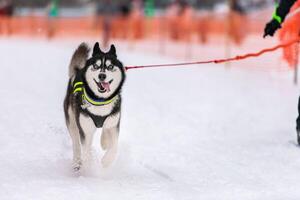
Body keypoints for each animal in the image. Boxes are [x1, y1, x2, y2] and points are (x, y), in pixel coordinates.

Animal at [63, 41, 125, 170]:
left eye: (110, 67)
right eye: (96, 66)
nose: (102, 76)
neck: (100, 101)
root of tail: (78, 70)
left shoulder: (114, 123)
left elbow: (114, 146)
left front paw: (106, 160)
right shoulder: (85, 128)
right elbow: (86, 149)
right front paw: (89, 164)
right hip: (72, 121)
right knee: (76, 142)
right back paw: (77, 162)